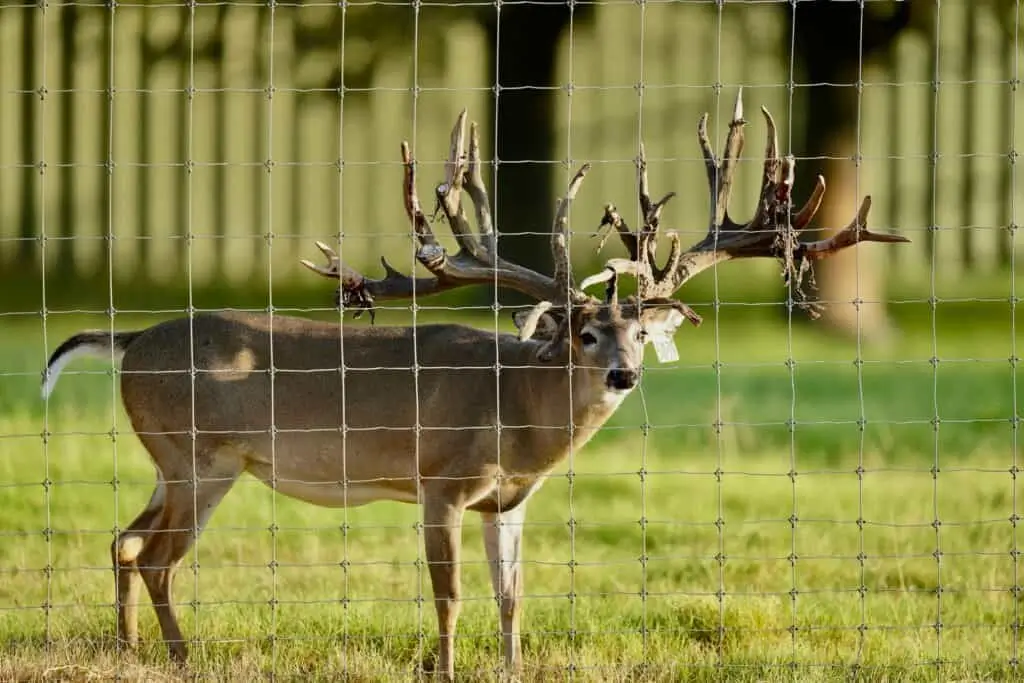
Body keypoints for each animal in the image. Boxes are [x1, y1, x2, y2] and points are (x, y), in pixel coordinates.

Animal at [37, 94, 905, 679]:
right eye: (585, 332)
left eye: (639, 333)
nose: (624, 372)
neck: (514, 409)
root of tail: (129, 343)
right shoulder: (440, 478)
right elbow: (448, 590)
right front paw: (447, 667)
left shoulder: (509, 497)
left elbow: (512, 591)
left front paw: (514, 666)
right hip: (202, 457)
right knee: (155, 554)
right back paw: (181, 654)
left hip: (175, 460)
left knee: (124, 539)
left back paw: (131, 650)